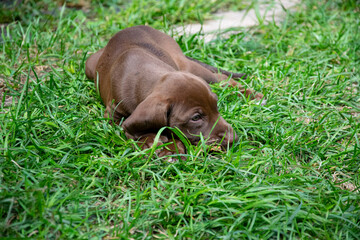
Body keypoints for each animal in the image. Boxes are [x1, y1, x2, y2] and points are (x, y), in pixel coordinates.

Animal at [86, 25, 262, 158]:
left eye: (216, 106)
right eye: (196, 118)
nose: (233, 138)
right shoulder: (113, 115)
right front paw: (155, 143)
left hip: (188, 66)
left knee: (222, 78)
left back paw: (252, 95)